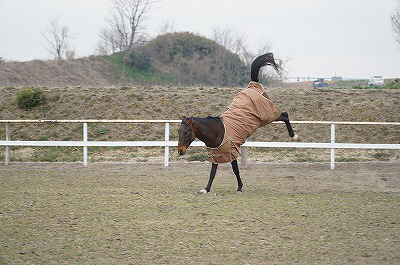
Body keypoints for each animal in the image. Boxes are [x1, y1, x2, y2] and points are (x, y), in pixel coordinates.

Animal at [177, 53, 296, 193]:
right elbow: (212, 173)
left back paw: (293, 135)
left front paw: (239, 187)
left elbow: (235, 170)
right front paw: (206, 189)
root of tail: (253, 86)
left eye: (185, 132)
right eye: (178, 131)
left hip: (267, 115)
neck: (218, 131)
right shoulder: (217, 154)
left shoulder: (231, 151)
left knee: (285, 115)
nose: (180, 151)